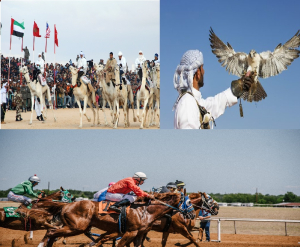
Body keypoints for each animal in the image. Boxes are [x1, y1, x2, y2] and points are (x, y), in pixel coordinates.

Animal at [36, 193, 182, 247]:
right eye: (185, 202)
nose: (186, 215)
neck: (145, 211)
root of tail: (66, 205)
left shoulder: (138, 234)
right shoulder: (131, 232)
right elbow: (118, 245)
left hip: (75, 227)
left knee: (52, 233)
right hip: (76, 227)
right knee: (51, 233)